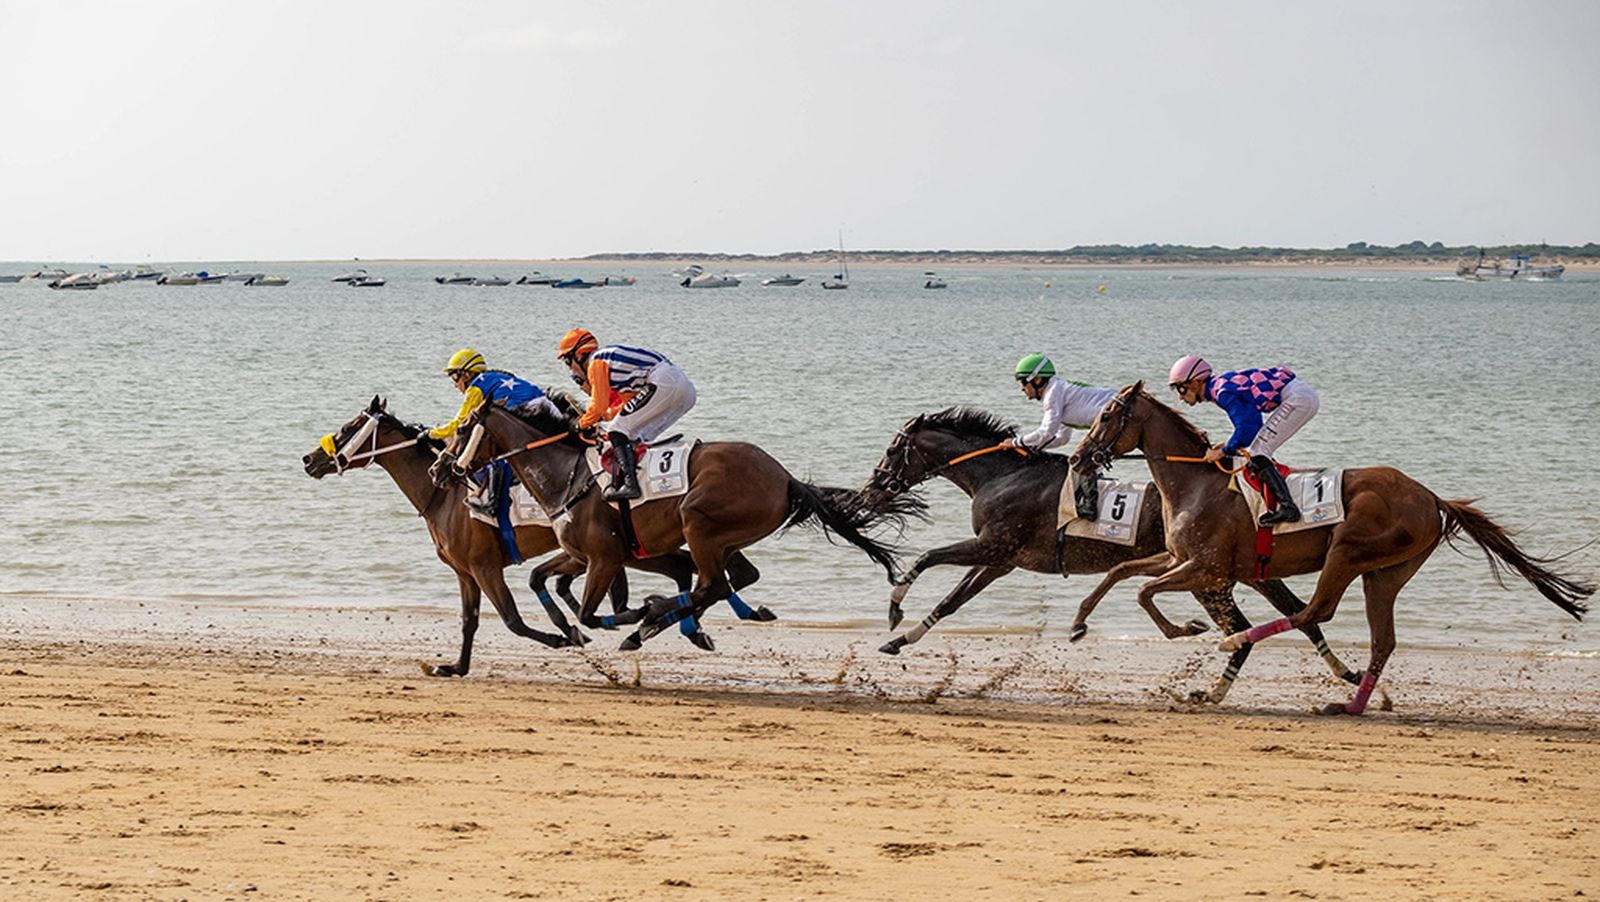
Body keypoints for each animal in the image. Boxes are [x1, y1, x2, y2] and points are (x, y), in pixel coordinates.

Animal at [303, 397, 695, 674]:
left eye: (348, 427)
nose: (309, 459)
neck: (443, 496)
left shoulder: (485, 566)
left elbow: (512, 620)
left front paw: (562, 638)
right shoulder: (464, 572)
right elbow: (469, 621)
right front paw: (456, 667)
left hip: (628, 548)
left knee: (681, 567)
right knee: (681, 567)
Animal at [430, 402, 924, 650]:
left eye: (462, 430)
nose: (439, 469)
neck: (565, 473)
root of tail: (786, 478)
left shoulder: (604, 556)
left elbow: (590, 611)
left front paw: (636, 614)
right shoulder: (581, 554)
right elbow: (547, 582)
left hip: (698, 521)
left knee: (711, 584)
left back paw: (651, 622)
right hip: (726, 536)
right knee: (730, 578)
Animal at [858, 408, 1358, 702]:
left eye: (892, 449)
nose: (870, 490)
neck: (1000, 474)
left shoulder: (993, 546)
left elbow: (927, 557)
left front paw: (894, 612)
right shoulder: (999, 561)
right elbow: (951, 602)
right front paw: (900, 640)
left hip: (1209, 575)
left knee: (1252, 624)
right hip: (1244, 572)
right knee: (1295, 614)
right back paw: (1347, 673)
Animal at [1069, 382, 1593, 714]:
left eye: (1107, 415)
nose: (1077, 457)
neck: (1198, 484)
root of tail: (1431, 497)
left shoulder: (1207, 569)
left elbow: (1144, 592)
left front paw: (1188, 629)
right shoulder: (1180, 558)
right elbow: (1120, 574)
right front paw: (1078, 624)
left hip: (1347, 551)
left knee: (1314, 612)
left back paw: (1239, 639)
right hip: (1384, 573)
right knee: (1380, 639)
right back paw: (1352, 703)